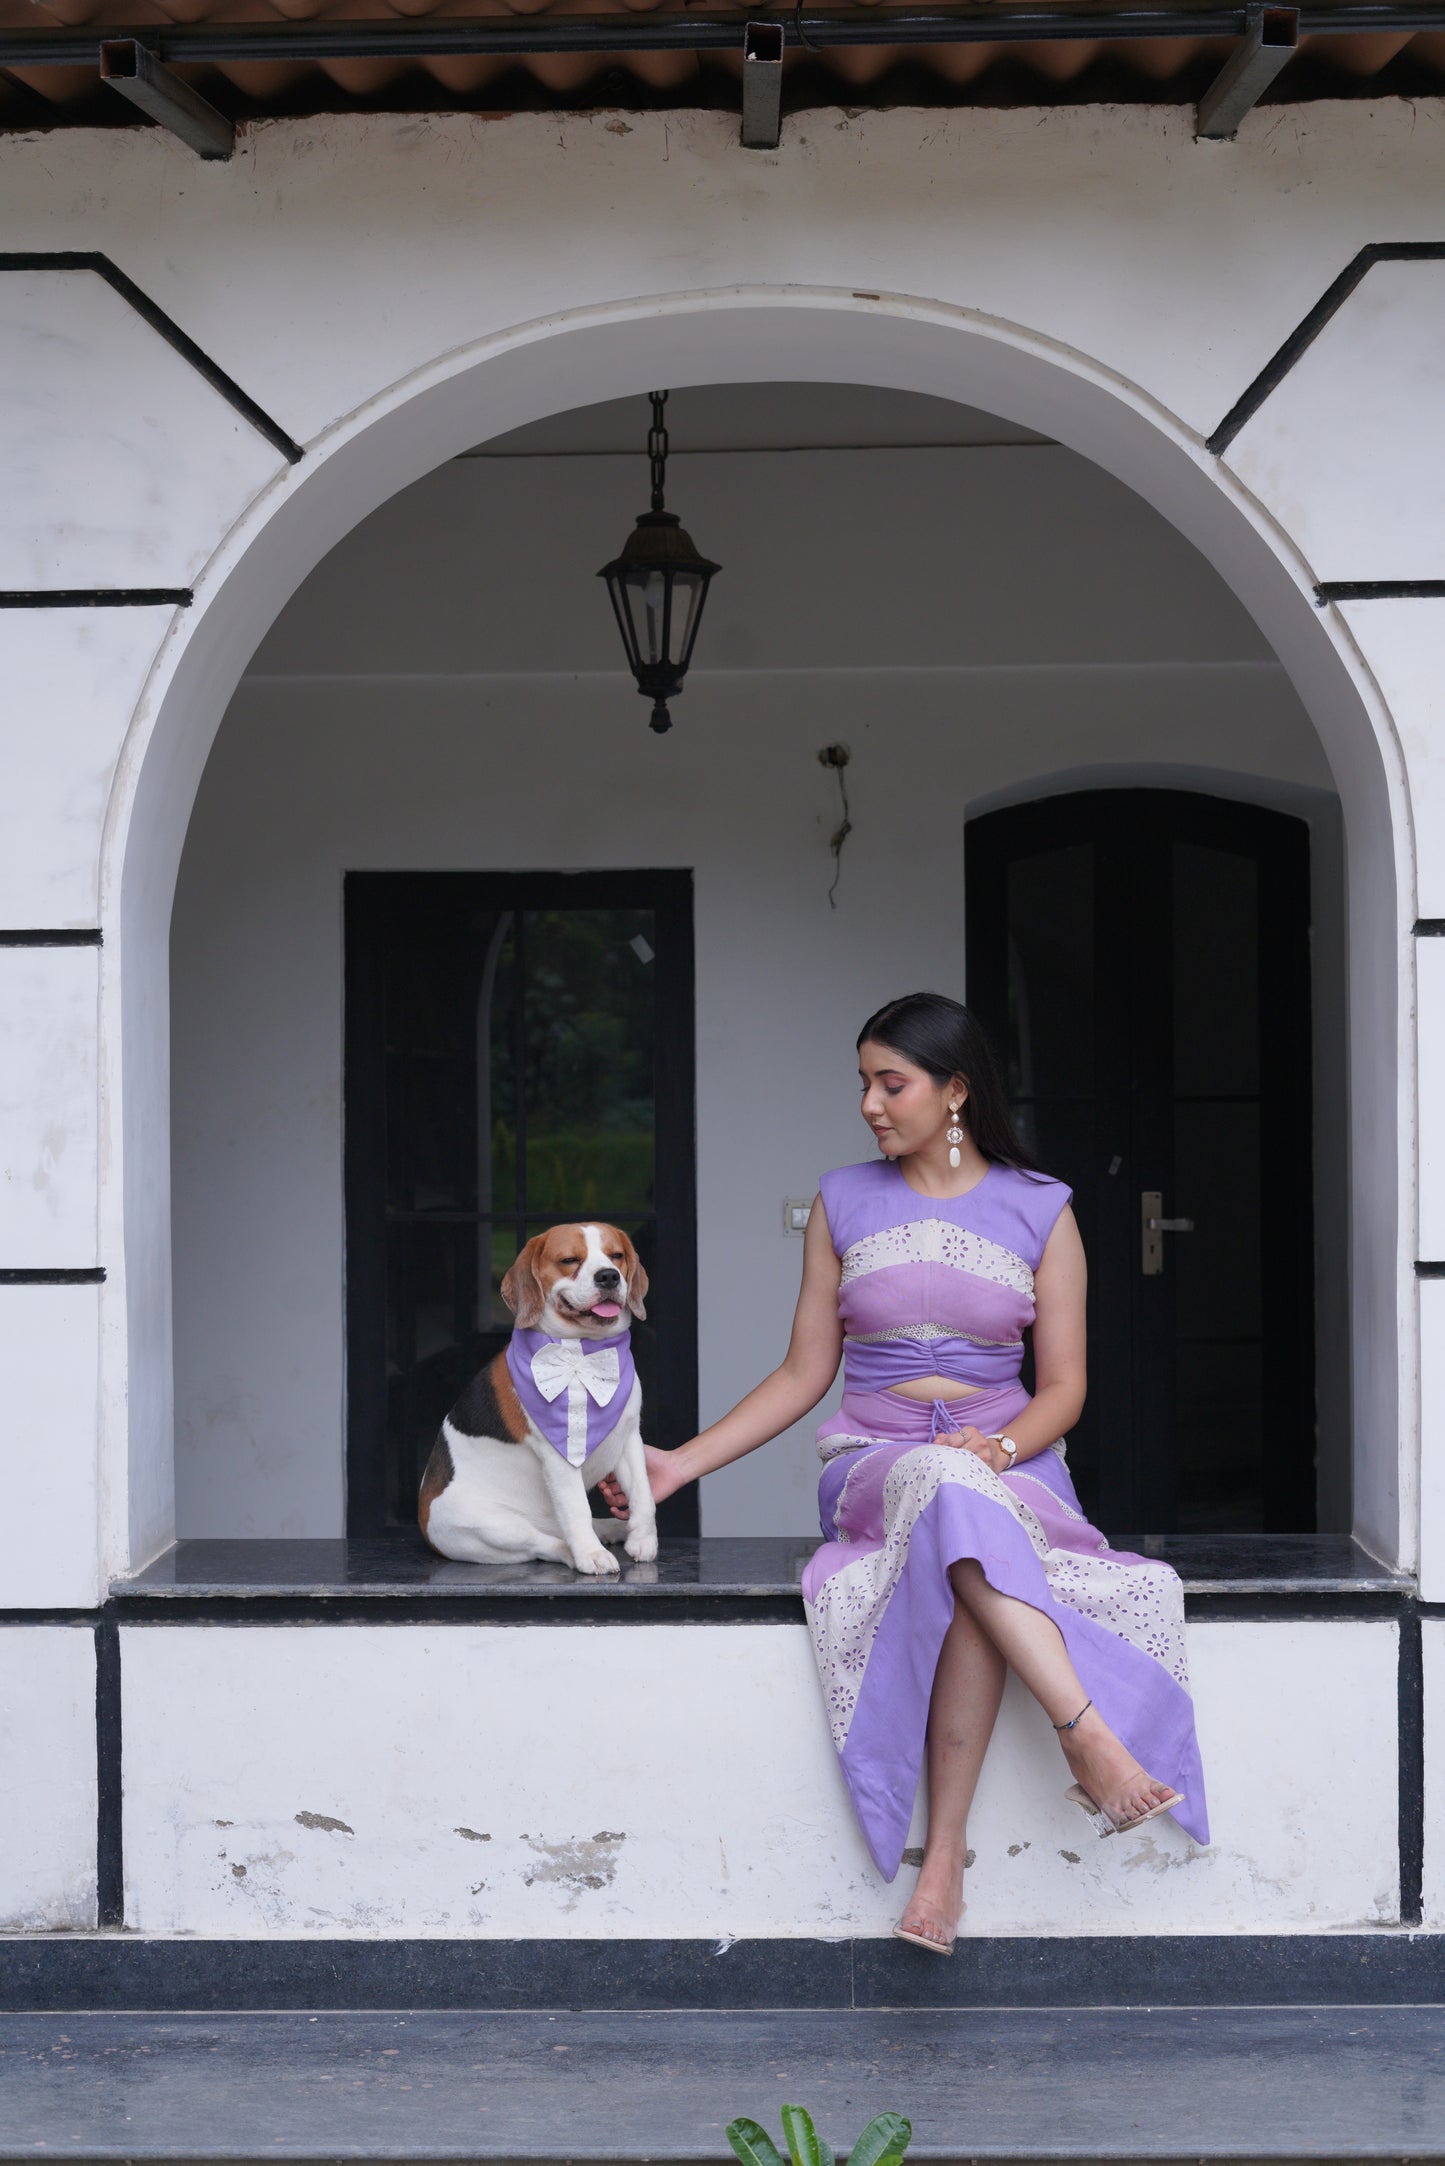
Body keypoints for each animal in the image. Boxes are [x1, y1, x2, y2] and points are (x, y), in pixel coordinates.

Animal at [418, 1221, 662, 1576]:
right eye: (569, 1260)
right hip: (492, 1527)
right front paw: (591, 1555)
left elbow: (644, 1493)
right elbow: (576, 1509)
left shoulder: (628, 1436)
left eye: (616, 1255)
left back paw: (610, 1529)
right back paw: (580, 1552)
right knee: (548, 1543)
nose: (608, 1276)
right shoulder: (561, 1455)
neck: (582, 1353)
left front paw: (642, 1538)